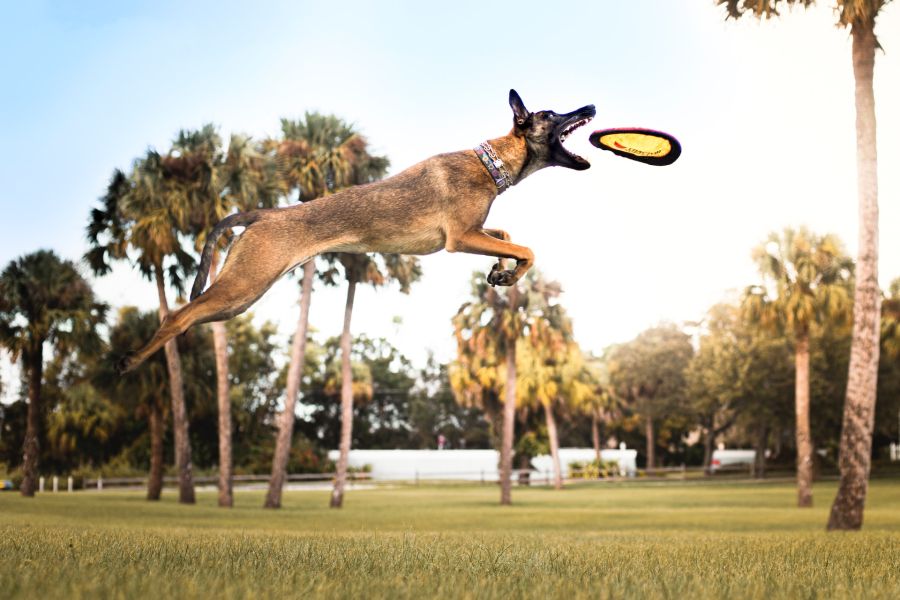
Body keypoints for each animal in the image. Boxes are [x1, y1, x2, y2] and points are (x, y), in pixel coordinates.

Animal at [119, 89, 596, 372]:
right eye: (551, 113)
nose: (590, 107)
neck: (488, 162)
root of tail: (262, 215)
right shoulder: (460, 239)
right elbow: (528, 248)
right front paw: (509, 270)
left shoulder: (474, 231)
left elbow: (510, 237)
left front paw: (501, 272)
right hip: (242, 285)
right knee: (177, 315)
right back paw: (131, 360)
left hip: (240, 297)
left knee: (189, 316)